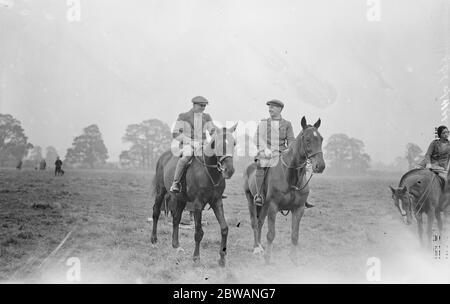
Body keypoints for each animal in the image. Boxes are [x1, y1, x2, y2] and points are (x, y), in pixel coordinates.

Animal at [151, 123, 239, 266]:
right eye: (217, 144)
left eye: (234, 143)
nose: (229, 170)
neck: (209, 171)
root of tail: (163, 157)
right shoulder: (198, 204)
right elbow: (198, 232)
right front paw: (196, 257)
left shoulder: (217, 202)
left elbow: (224, 228)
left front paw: (222, 259)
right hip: (160, 192)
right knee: (156, 212)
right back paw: (153, 240)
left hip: (181, 199)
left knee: (176, 218)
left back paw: (176, 245)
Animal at [244, 116, 326, 264]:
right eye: (307, 139)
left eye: (321, 139)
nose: (320, 166)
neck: (291, 176)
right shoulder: (273, 207)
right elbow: (271, 234)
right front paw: (267, 259)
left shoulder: (299, 209)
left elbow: (295, 235)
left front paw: (294, 260)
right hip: (251, 200)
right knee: (254, 223)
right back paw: (256, 248)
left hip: (263, 206)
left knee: (260, 223)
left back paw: (260, 246)